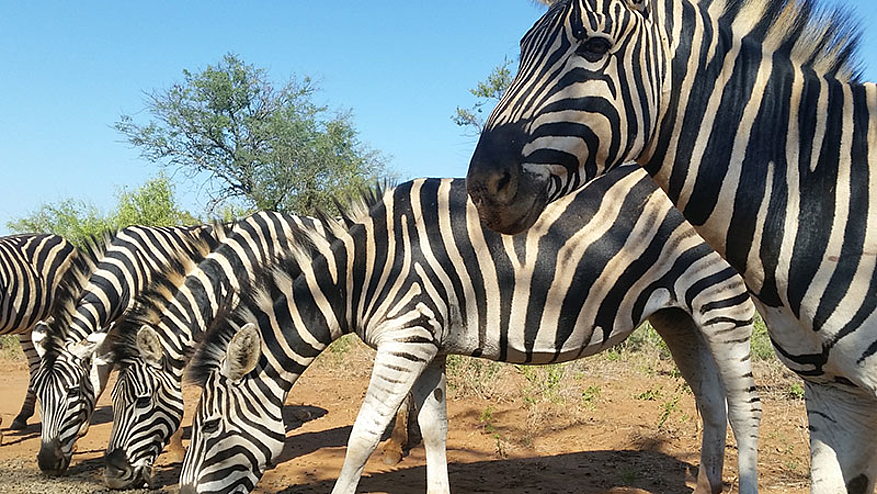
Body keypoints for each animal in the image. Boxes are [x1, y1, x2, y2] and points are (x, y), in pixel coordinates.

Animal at [31, 224, 217, 474]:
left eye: (72, 392)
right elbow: (97, 382)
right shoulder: (109, 335)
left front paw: (175, 445)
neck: (125, 276)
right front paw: (78, 438)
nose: (47, 463)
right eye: (38, 393)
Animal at [468, 1, 877, 492]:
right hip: (681, 316)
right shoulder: (836, 391)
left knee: (744, 405)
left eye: (596, 47)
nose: (481, 187)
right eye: (524, 49)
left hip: (723, 308)